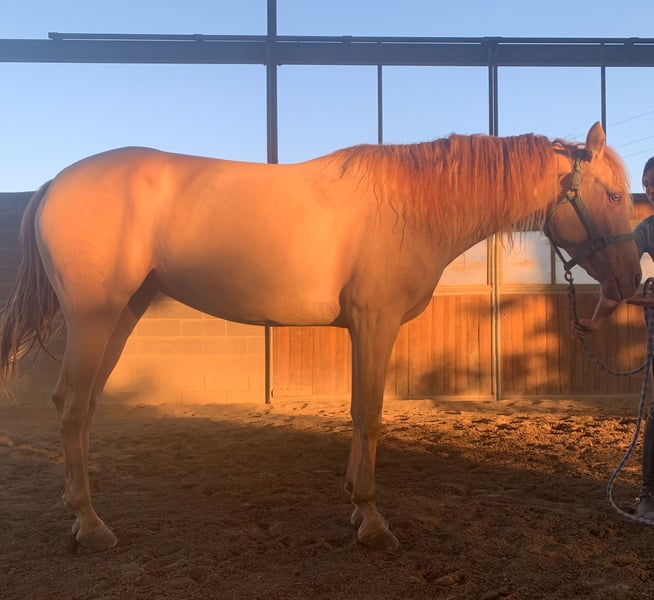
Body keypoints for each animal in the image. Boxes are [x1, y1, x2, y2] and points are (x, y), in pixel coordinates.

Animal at [0, 122, 641, 553]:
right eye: (612, 196)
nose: (632, 283)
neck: (411, 207)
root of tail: (55, 182)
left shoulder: (363, 329)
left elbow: (359, 413)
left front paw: (357, 509)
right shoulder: (376, 322)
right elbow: (371, 414)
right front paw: (374, 522)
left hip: (123, 314)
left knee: (82, 408)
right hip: (94, 317)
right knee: (72, 406)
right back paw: (90, 525)